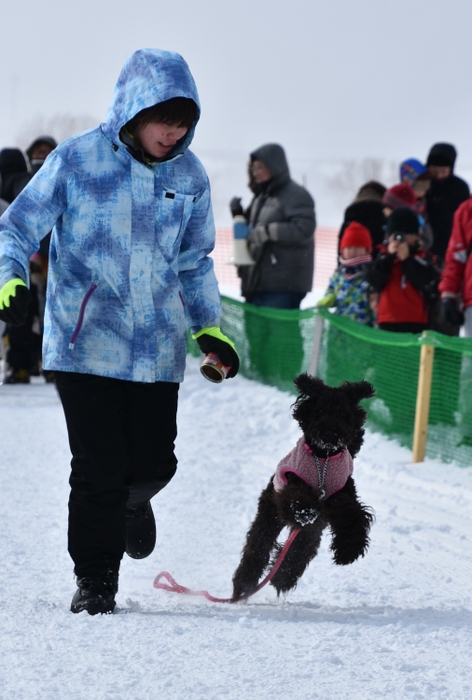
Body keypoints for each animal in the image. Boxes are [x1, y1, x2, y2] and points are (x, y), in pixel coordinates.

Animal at [230, 372, 374, 600]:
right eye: (320, 410)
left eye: (343, 413)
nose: (330, 434)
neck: (323, 459)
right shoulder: (292, 485)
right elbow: (298, 497)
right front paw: (305, 511)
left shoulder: (342, 492)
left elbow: (353, 515)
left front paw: (348, 550)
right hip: (270, 513)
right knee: (259, 544)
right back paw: (244, 585)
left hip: (311, 530)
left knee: (300, 549)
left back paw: (282, 578)